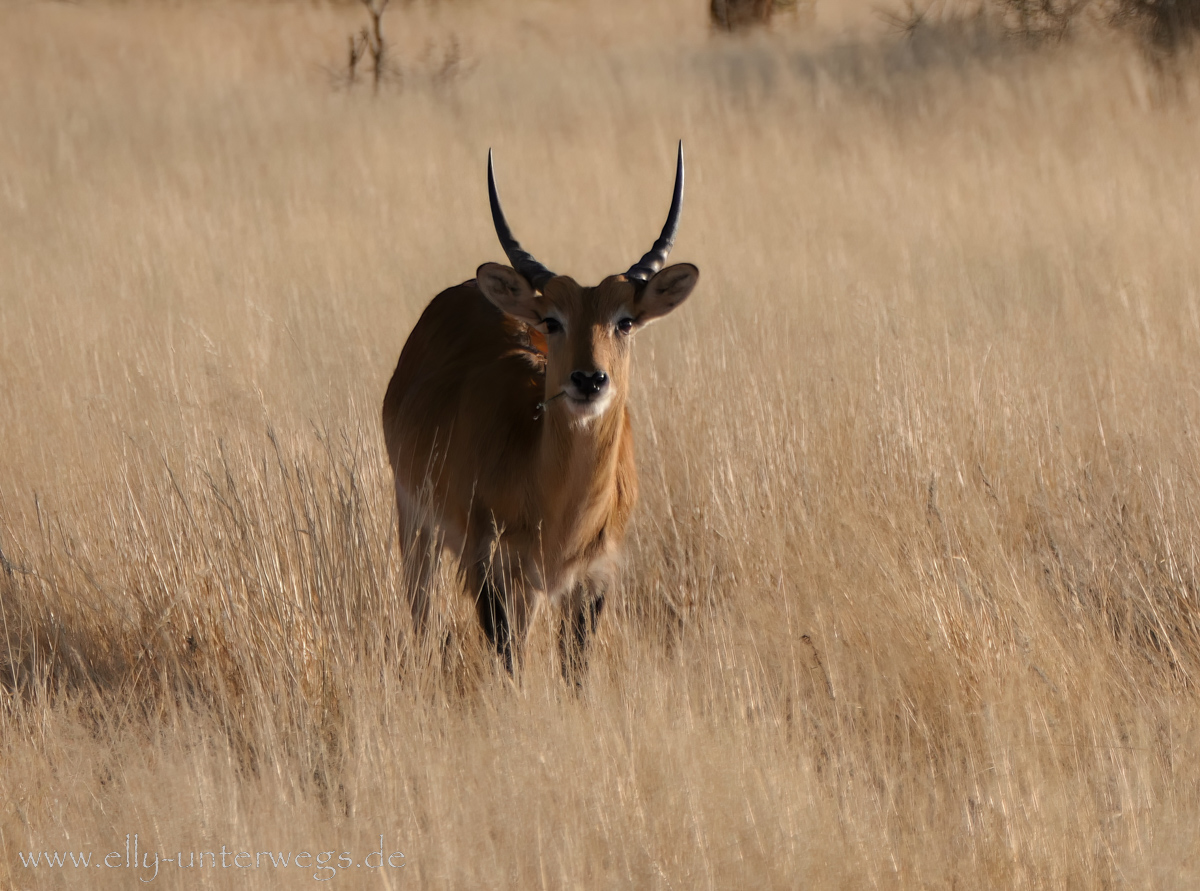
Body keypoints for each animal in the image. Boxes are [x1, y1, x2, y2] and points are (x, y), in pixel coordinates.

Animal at [384, 142, 700, 682]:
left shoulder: (591, 581)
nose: (589, 380)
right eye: (552, 320)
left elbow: (574, 673)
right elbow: (509, 667)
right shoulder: (486, 567)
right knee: (422, 618)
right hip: (418, 528)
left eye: (626, 321)